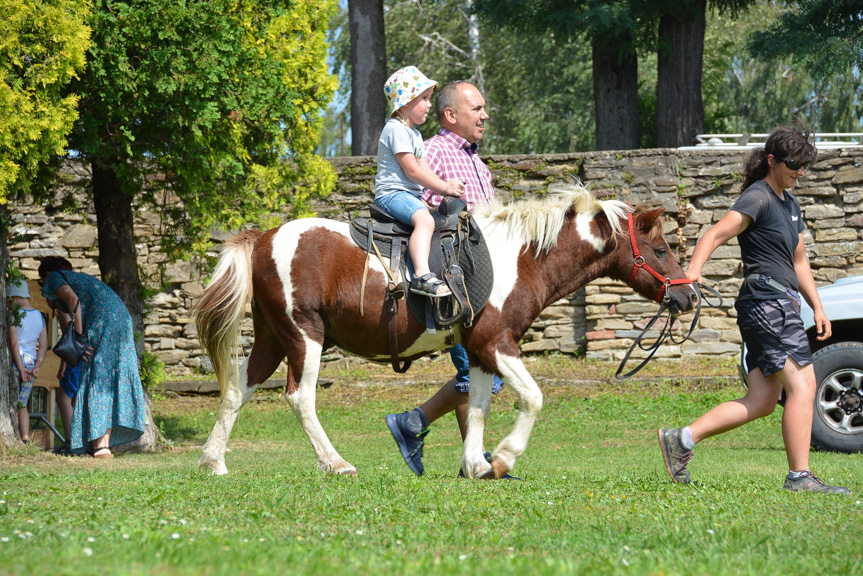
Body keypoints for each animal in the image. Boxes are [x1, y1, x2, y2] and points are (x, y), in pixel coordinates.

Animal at [194, 183, 696, 476]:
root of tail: (262, 238)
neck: (522, 257)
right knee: (300, 397)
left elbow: (476, 407)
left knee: (237, 389)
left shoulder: (478, 351)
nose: (690, 296)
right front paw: (505, 456)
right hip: (304, 336)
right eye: (661, 249)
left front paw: (476, 464)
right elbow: (532, 398)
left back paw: (213, 460)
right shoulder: (497, 342)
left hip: (272, 338)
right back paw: (336, 463)